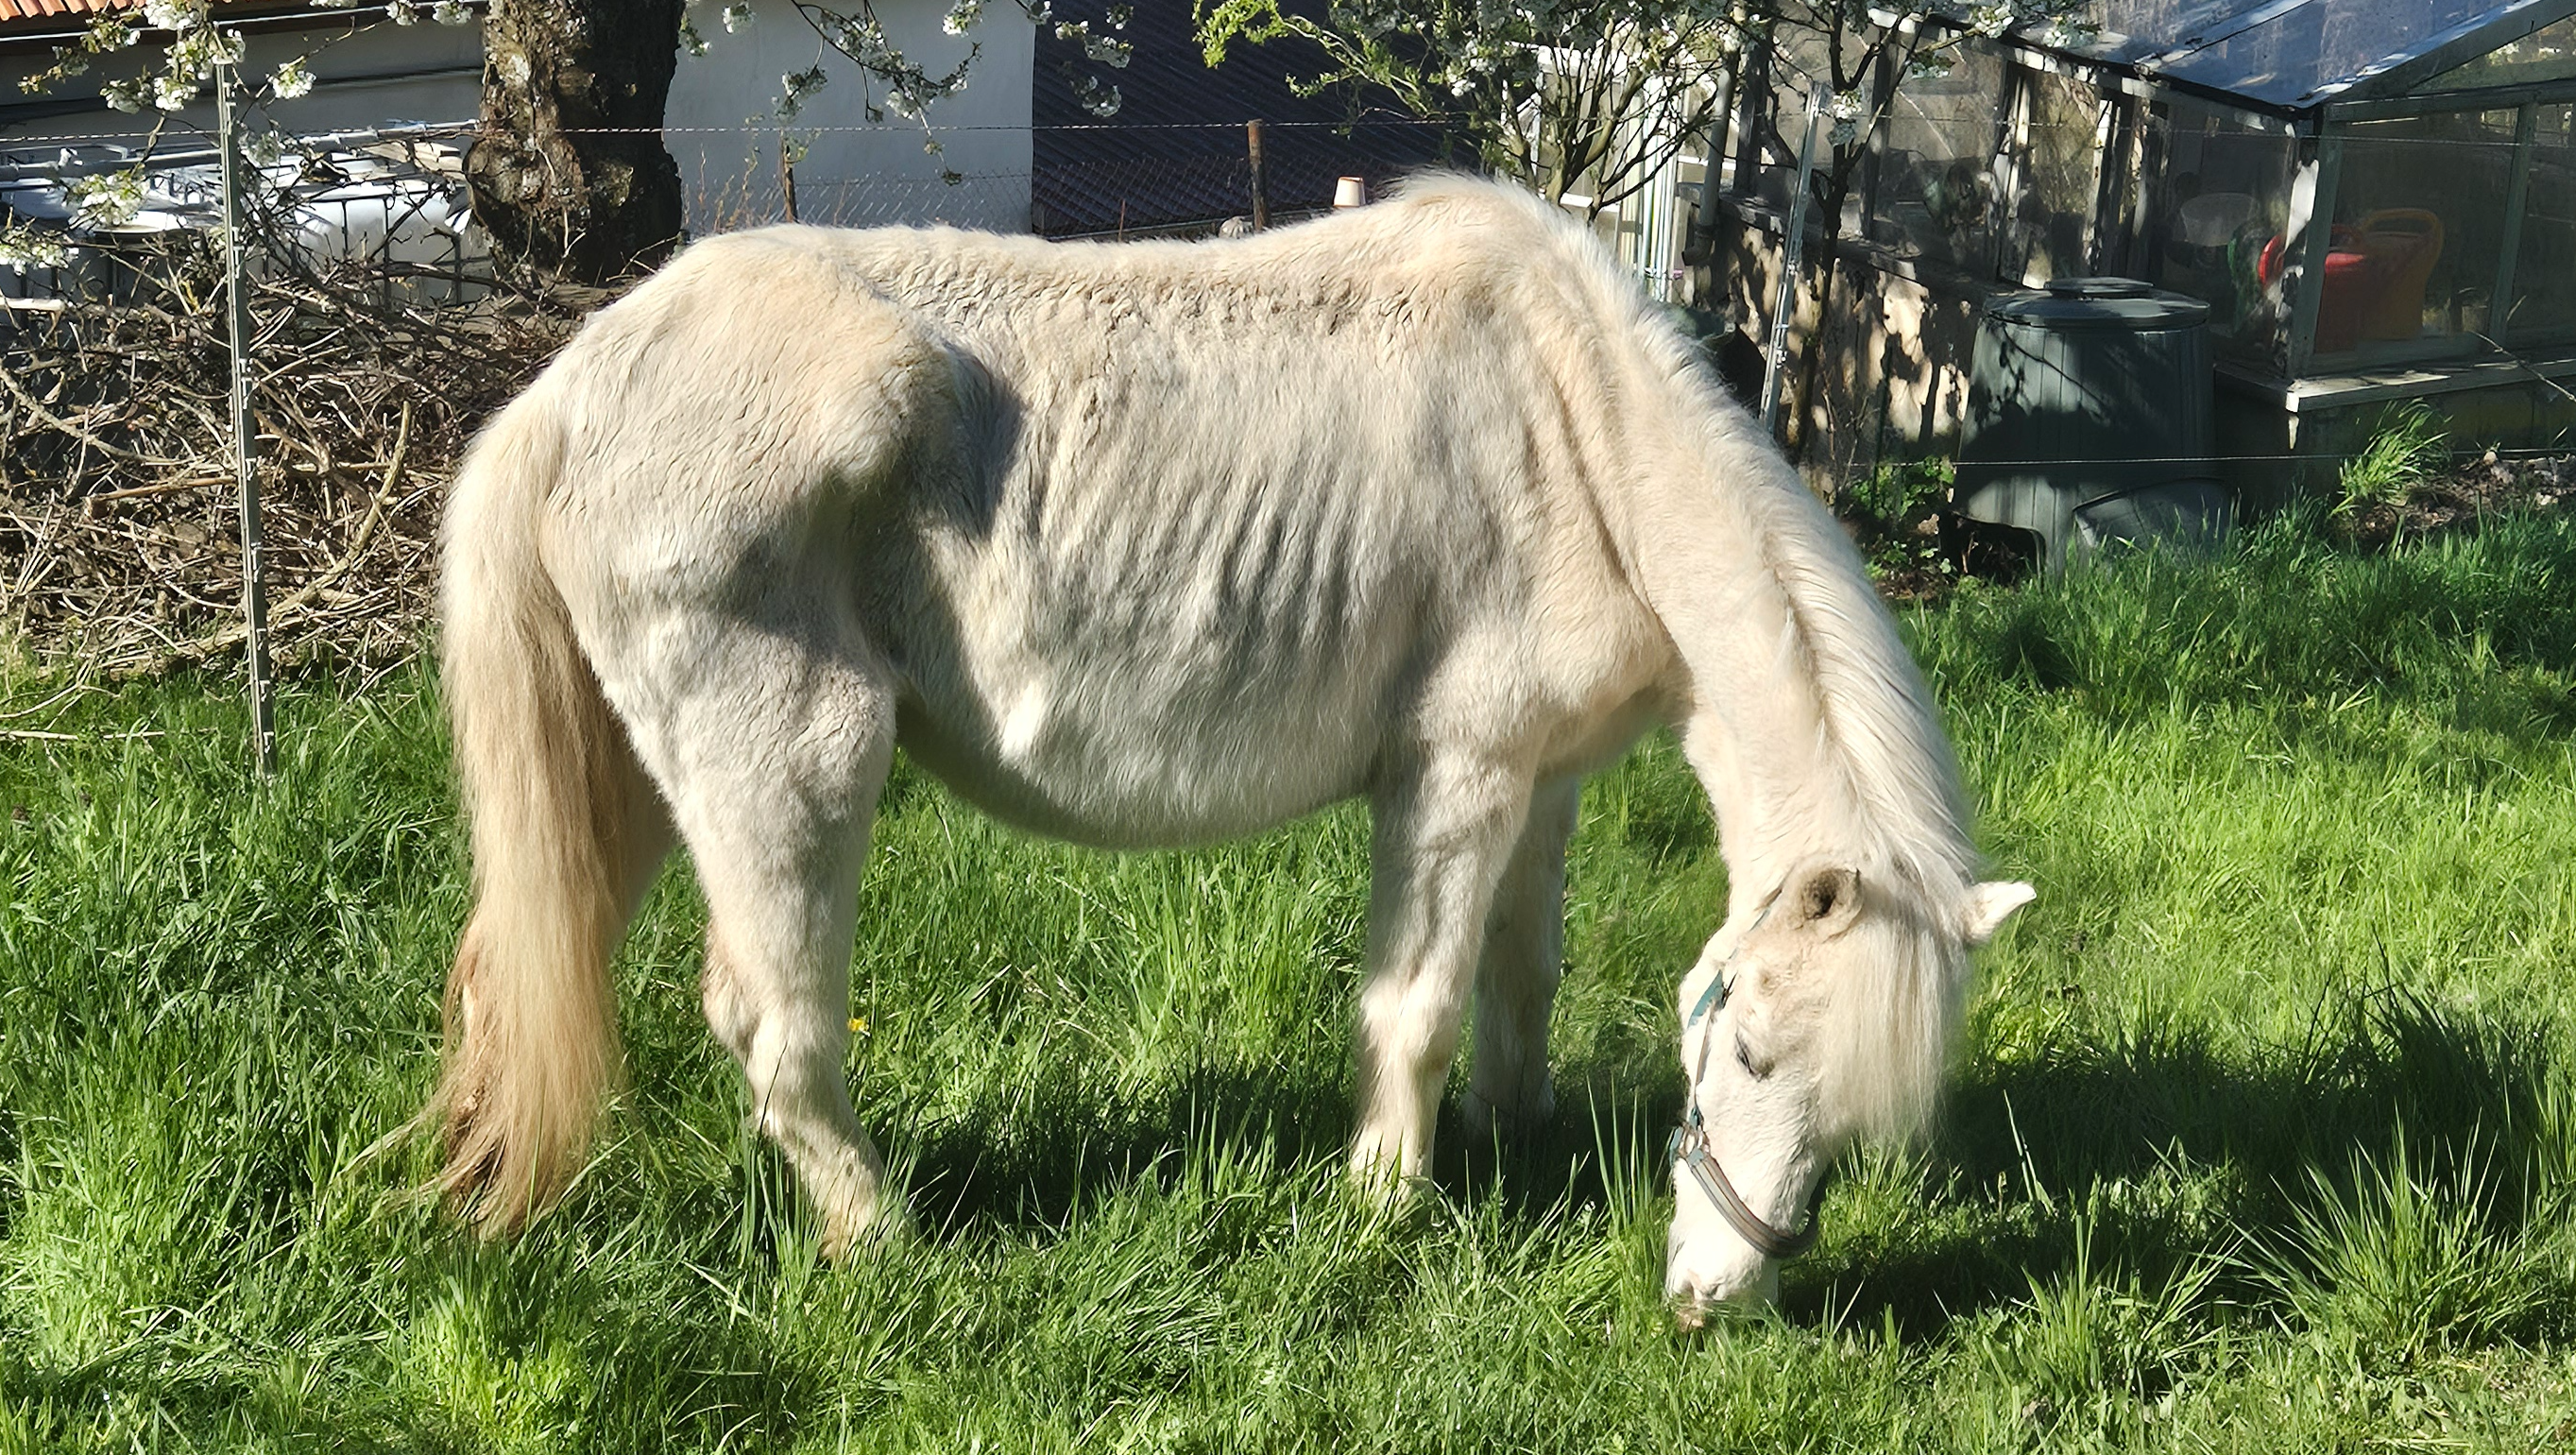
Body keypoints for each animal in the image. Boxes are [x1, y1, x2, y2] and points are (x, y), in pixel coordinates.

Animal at [428, 174, 2032, 1315]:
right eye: (1745, 1051)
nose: (1709, 1302)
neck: (1578, 431)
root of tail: (568, 386)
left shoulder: (1546, 779)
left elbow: (1521, 979)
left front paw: (1522, 1142)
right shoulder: (1455, 776)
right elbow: (1416, 1006)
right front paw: (1385, 1204)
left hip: (635, 788)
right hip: (790, 772)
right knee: (772, 1028)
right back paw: (882, 1239)